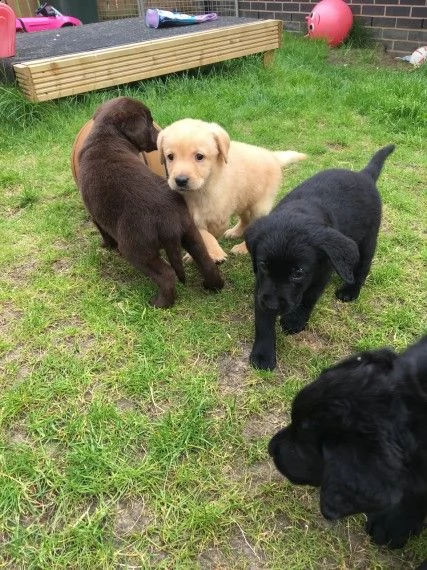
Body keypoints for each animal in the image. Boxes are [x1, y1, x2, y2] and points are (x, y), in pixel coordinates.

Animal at [78, 98, 224, 310]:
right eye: (149, 122)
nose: (158, 139)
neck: (106, 137)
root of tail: (169, 219)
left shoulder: (95, 214)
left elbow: (104, 231)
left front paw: (106, 245)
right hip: (190, 231)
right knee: (206, 261)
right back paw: (213, 286)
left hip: (136, 249)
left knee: (167, 274)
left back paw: (159, 303)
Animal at [157, 121, 308, 262]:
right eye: (170, 156)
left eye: (199, 156)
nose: (180, 180)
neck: (201, 190)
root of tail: (272, 155)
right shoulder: (191, 218)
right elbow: (203, 235)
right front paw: (196, 255)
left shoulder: (219, 218)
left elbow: (210, 234)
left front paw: (215, 253)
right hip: (242, 200)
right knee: (245, 219)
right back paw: (236, 232)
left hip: (259, 205)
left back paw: (242, 248)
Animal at [246, 144, 396, 370]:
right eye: (263, 265)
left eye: (298, 273)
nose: (273, 305)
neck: (298, 214)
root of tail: (364, 175)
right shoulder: (262, 285)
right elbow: (262, 320)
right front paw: (263, 353)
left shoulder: (321, 273)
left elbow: (309, 297)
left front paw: (295, 320)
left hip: (368, 240)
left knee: (363, 267)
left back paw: (350, 290)